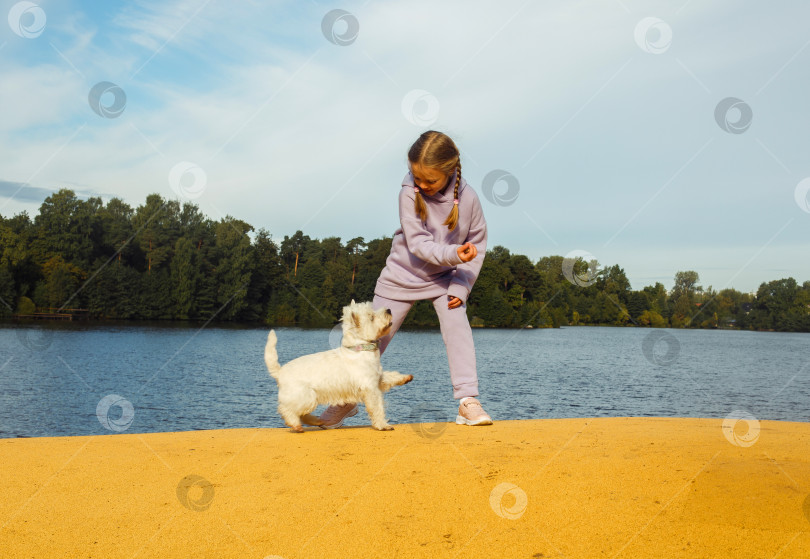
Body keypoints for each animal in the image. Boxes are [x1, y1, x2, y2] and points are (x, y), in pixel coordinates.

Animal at [266, 302, 414, 434]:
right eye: (372, 317)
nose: (389, 310)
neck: (360, 349)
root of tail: (280, 372)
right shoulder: (370, 388)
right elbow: (377, 407)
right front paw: (383, 425)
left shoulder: (378, 378)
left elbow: (391, 376)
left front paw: (406, 378)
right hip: (305, 397)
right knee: (287, 410)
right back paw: (296, 425)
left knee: (301, 414)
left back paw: (316, 421)